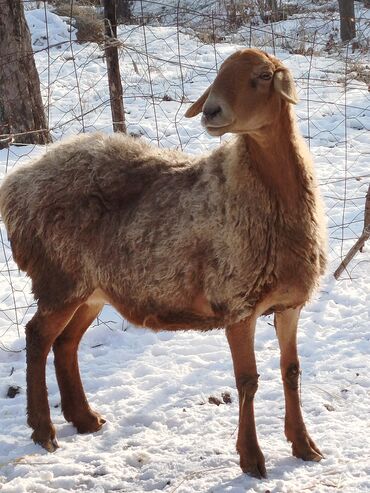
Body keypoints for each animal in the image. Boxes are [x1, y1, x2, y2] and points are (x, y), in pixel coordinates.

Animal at [0, 49, 326, 476]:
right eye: (220, 73)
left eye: (263, 75)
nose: (211, 110)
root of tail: (16, 183)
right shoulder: (238, 303)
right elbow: (247, 381)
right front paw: (251, 458)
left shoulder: (289, 304)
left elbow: (292, 372)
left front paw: (304, 445)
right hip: (59, 277)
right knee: (38, 337)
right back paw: (44, 430)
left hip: (91, 290)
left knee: (66, 343)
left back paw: (84, 418)